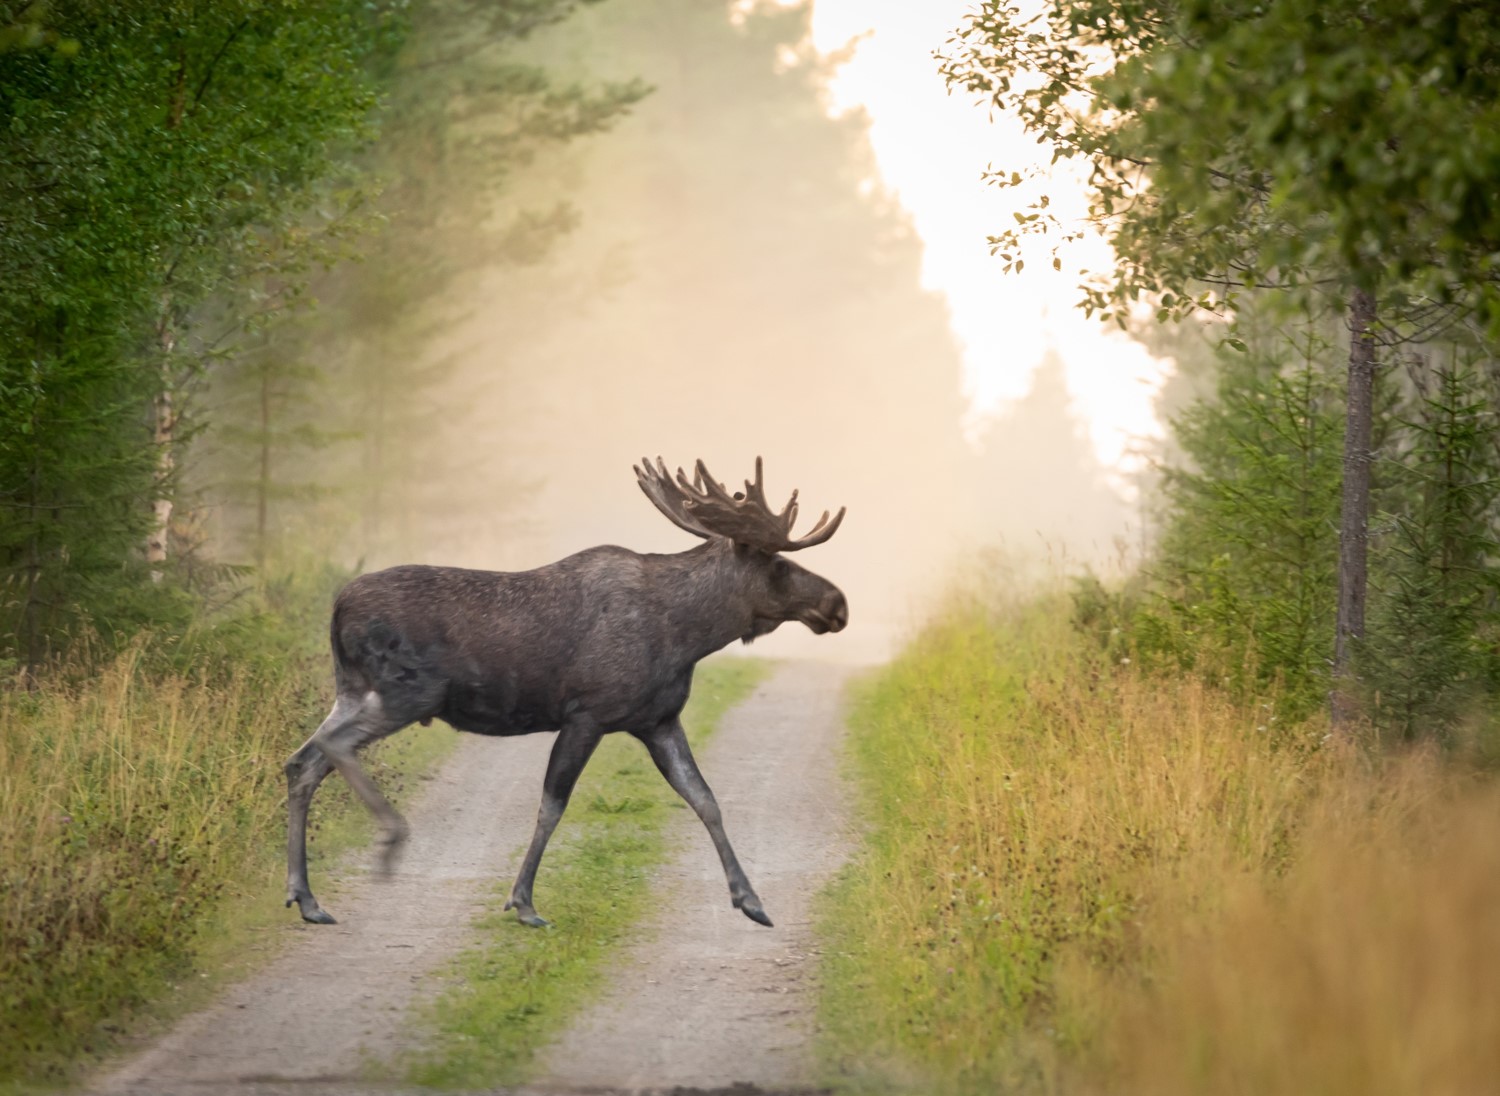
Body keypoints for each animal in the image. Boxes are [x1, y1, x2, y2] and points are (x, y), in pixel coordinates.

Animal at [283, 457, 848, 929]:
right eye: (779, 564)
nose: (838, 603)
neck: (688, 635)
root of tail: (337, 610)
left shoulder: (658, 720)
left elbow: (705, 799)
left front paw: (751, 900)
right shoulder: (587, 713)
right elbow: (552, 805)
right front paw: (523, 902)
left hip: (353, 690)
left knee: (301, 761)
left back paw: (306, 898)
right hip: (408, 692)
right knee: (330, 748)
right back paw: (389, 839)